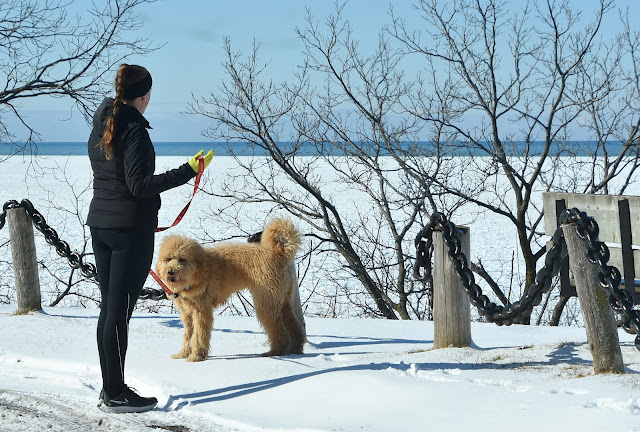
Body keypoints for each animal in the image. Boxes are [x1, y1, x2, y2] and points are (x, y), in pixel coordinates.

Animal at [155, 218, 306, 361]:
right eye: (168, 259)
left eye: (182, 259)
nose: (170, 272)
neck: (200, 271)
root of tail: (279, 253)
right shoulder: (187, 313)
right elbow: (188, 335)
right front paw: (183, 354)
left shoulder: (201, 311)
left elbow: (199, 335)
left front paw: (196, 356)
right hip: (283, 299)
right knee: (295, 327)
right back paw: (294, 349)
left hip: (267, 302)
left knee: (280, 332)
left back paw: (275, 352)